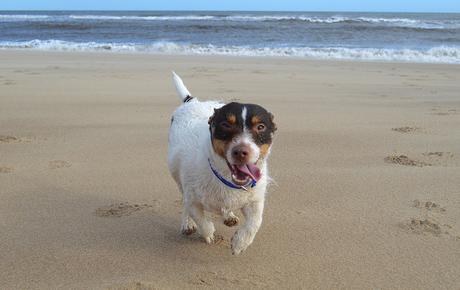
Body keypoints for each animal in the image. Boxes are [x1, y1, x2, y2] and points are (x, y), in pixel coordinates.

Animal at [169, 72, 276, 254]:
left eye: (261, 126)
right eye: (225, 124)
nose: (241, 151)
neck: (225, 178)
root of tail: (193, 102)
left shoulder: (255, 201)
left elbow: (255, 223)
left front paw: (240, 243)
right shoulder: (193, 198)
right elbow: (200, 219)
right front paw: (207, 233)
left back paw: (229, 216)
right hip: (176, 172)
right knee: (184, 201)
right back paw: (187, 223)